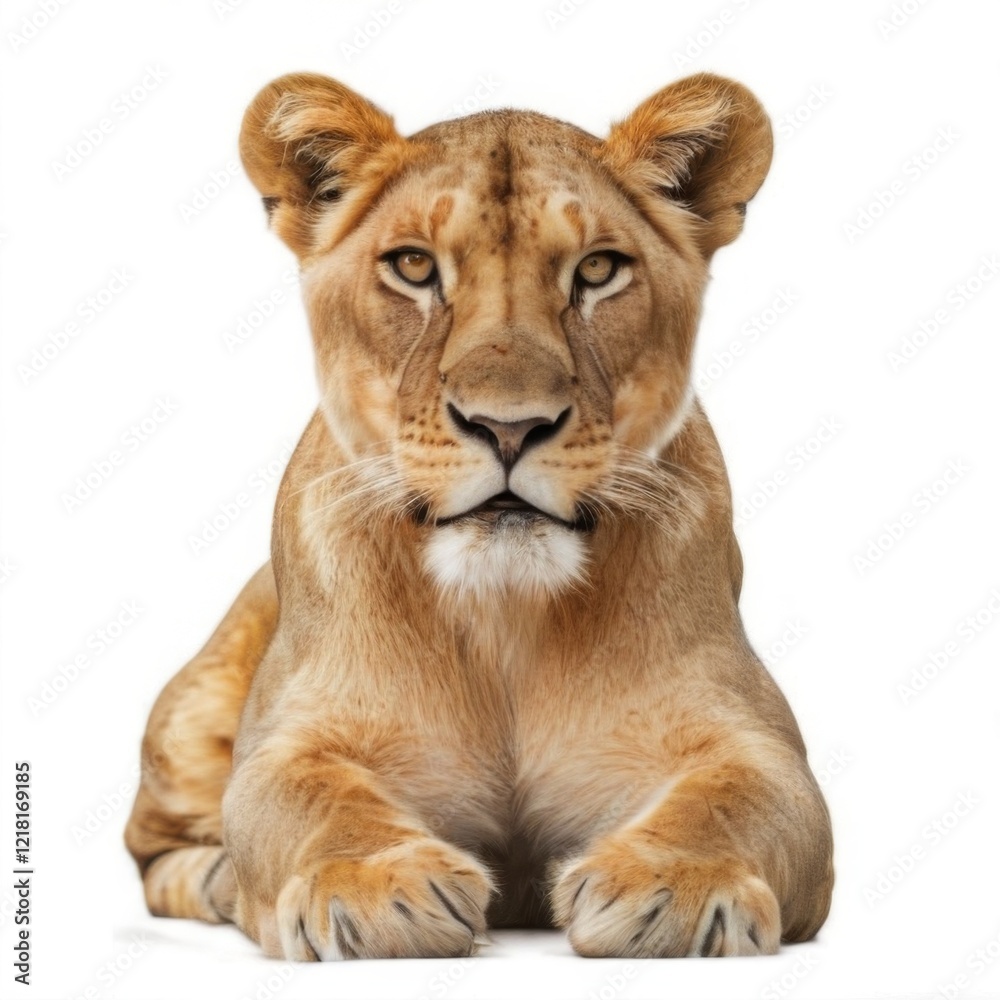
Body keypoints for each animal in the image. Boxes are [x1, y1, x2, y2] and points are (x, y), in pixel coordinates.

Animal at [125, 71, 833, 960]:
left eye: (599, 269)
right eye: (413, 266)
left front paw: (672, 886)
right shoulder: (288, 741)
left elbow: (737, 797)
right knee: (153, 852)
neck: (504, 615)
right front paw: (374, 887)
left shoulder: (759, 744)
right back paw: (219, 881)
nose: (509, 427)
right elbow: (311, 798)